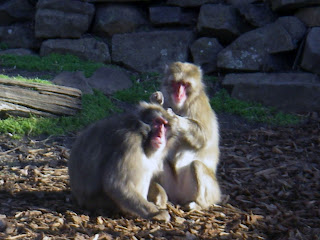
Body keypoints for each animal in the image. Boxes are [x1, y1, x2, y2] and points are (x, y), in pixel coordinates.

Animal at [151, 61, 221, 210]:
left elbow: (204, 136)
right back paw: (159, 195)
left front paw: (175, 120)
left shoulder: (198, 104)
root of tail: (179, 197)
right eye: (176, 83)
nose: (179, 93)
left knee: (197, 165)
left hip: (210, 191)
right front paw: (156, 101)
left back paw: (198, 205)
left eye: (185, 84)